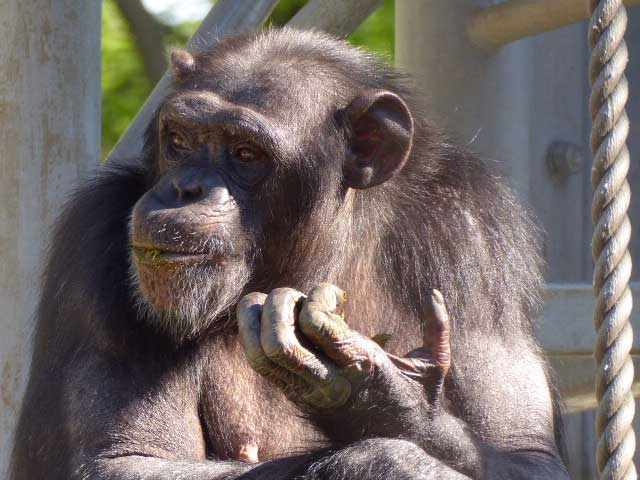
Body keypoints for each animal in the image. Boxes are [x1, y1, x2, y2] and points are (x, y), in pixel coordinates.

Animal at [10, 29, 568, 480]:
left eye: (245, 153)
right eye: (180, 140)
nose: (184, 189)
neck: (316, 252)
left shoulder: (479, 230)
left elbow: (524, 453)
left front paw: (375, 389)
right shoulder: (96, 239)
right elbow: (126, 459)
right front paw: (384, 458)